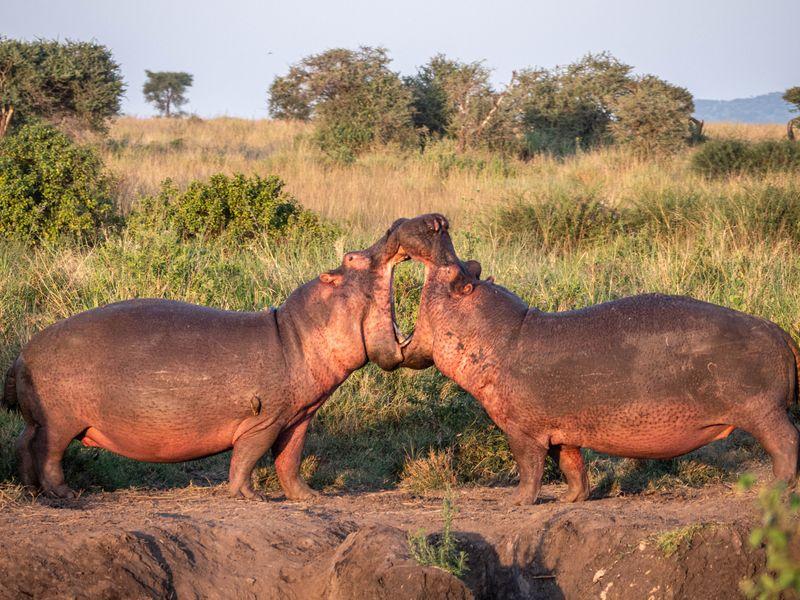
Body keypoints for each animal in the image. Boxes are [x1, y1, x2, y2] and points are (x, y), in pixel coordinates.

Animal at [3, 213, 446, 500]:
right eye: (353, 257)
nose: (413, 220)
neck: (296, 332)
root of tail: (21, 355)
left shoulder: (298, 418)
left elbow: (289, 460)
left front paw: (309, 497)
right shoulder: (264, 421)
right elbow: (247, 459)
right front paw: (250, 497)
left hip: (40, 420)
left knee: (25, 444)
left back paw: (31, 490)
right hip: (61, 421)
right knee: (49, 455)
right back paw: (65, 494)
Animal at [390, 218, 800, 504]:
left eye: (457, 274)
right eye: (471, 267)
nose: (435, 222)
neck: (502, 334)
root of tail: (779, 331)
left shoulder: (522, 431)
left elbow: (529, 467)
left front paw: (517, 503)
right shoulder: (560, 430)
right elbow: (572, 465)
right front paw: (571, 500)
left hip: (762, 411)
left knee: (786, 443)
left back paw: (775, 489)